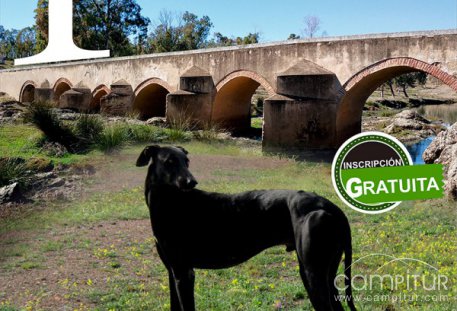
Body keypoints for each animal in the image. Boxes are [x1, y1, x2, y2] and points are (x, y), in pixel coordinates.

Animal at [135, 146, 356, 311]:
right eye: (170, 161)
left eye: (186, 161)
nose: (192, 182)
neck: (171, 203)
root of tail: (331, 207)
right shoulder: (173, 272)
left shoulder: (185, 272)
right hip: (322, 272)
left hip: (313, 273)